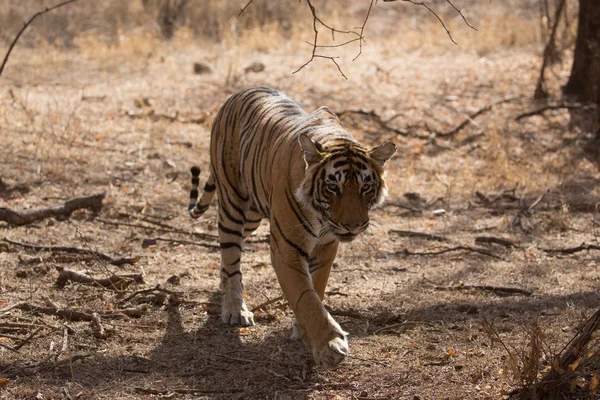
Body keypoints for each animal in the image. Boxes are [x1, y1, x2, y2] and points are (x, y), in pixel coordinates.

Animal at [188, 88, 394, 368]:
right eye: (333, 187)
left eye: (366, 187)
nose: (352, 226)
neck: (321, 219)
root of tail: (238, 93)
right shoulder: (286, 249)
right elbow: (305, 296)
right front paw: (329, 344)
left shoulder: (326, 248)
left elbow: (317, 288)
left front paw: (304, 331)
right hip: (233, 204)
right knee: (231, 257)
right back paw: (234, 308)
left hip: (253, 215)